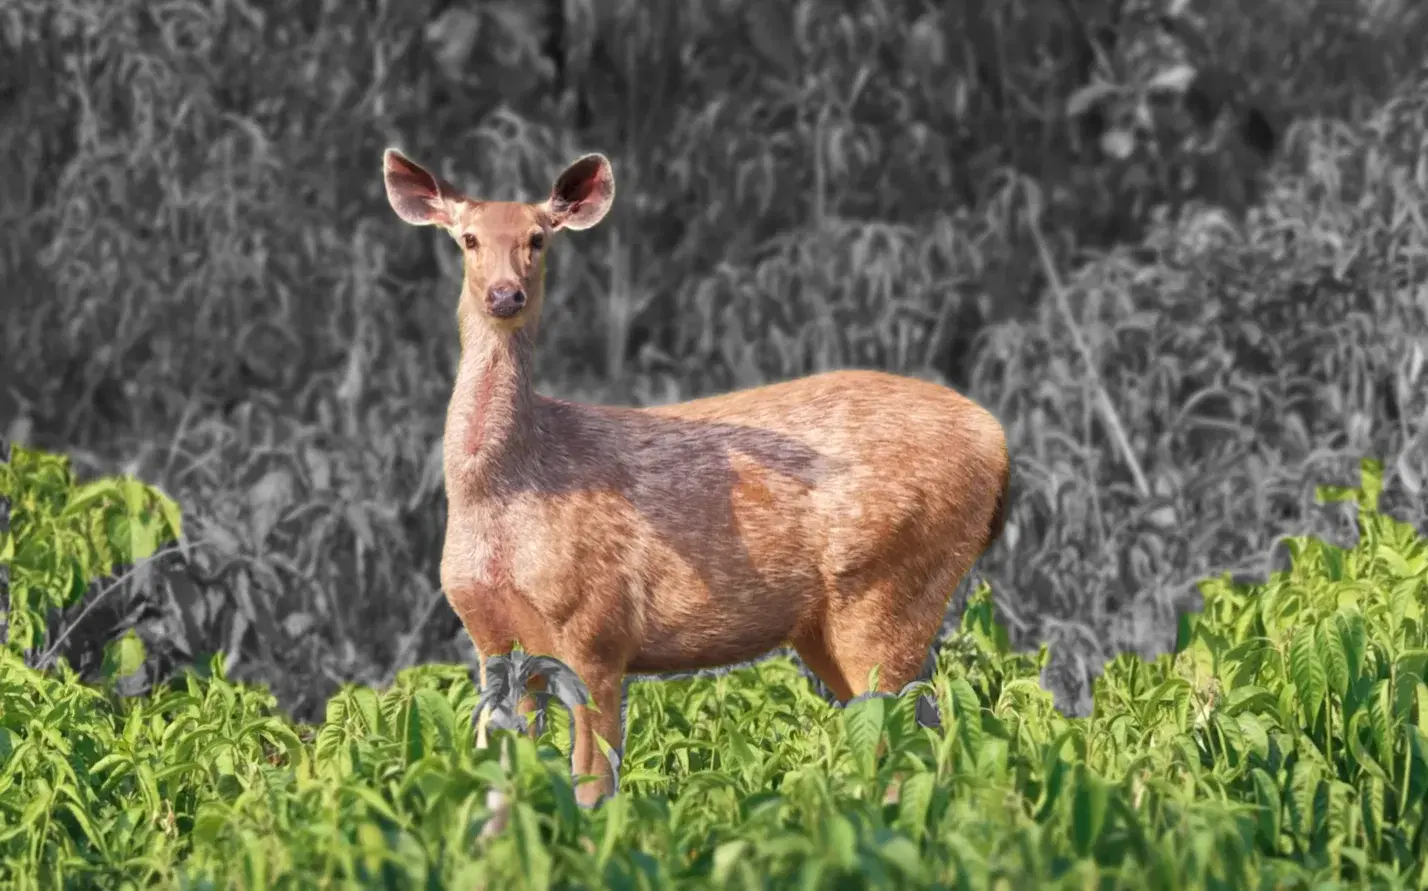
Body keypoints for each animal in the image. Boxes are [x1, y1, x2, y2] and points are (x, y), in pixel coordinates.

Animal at [381, 146, 1012, 815]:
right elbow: (498, 778)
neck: (506, 492)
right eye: (468, 239)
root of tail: (997, 442)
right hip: (829, 625)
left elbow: (593, 781)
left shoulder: (598, 629)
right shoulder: (492, 638)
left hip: (889, 585)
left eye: (538, 238)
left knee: (907, 737)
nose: (506, 295)